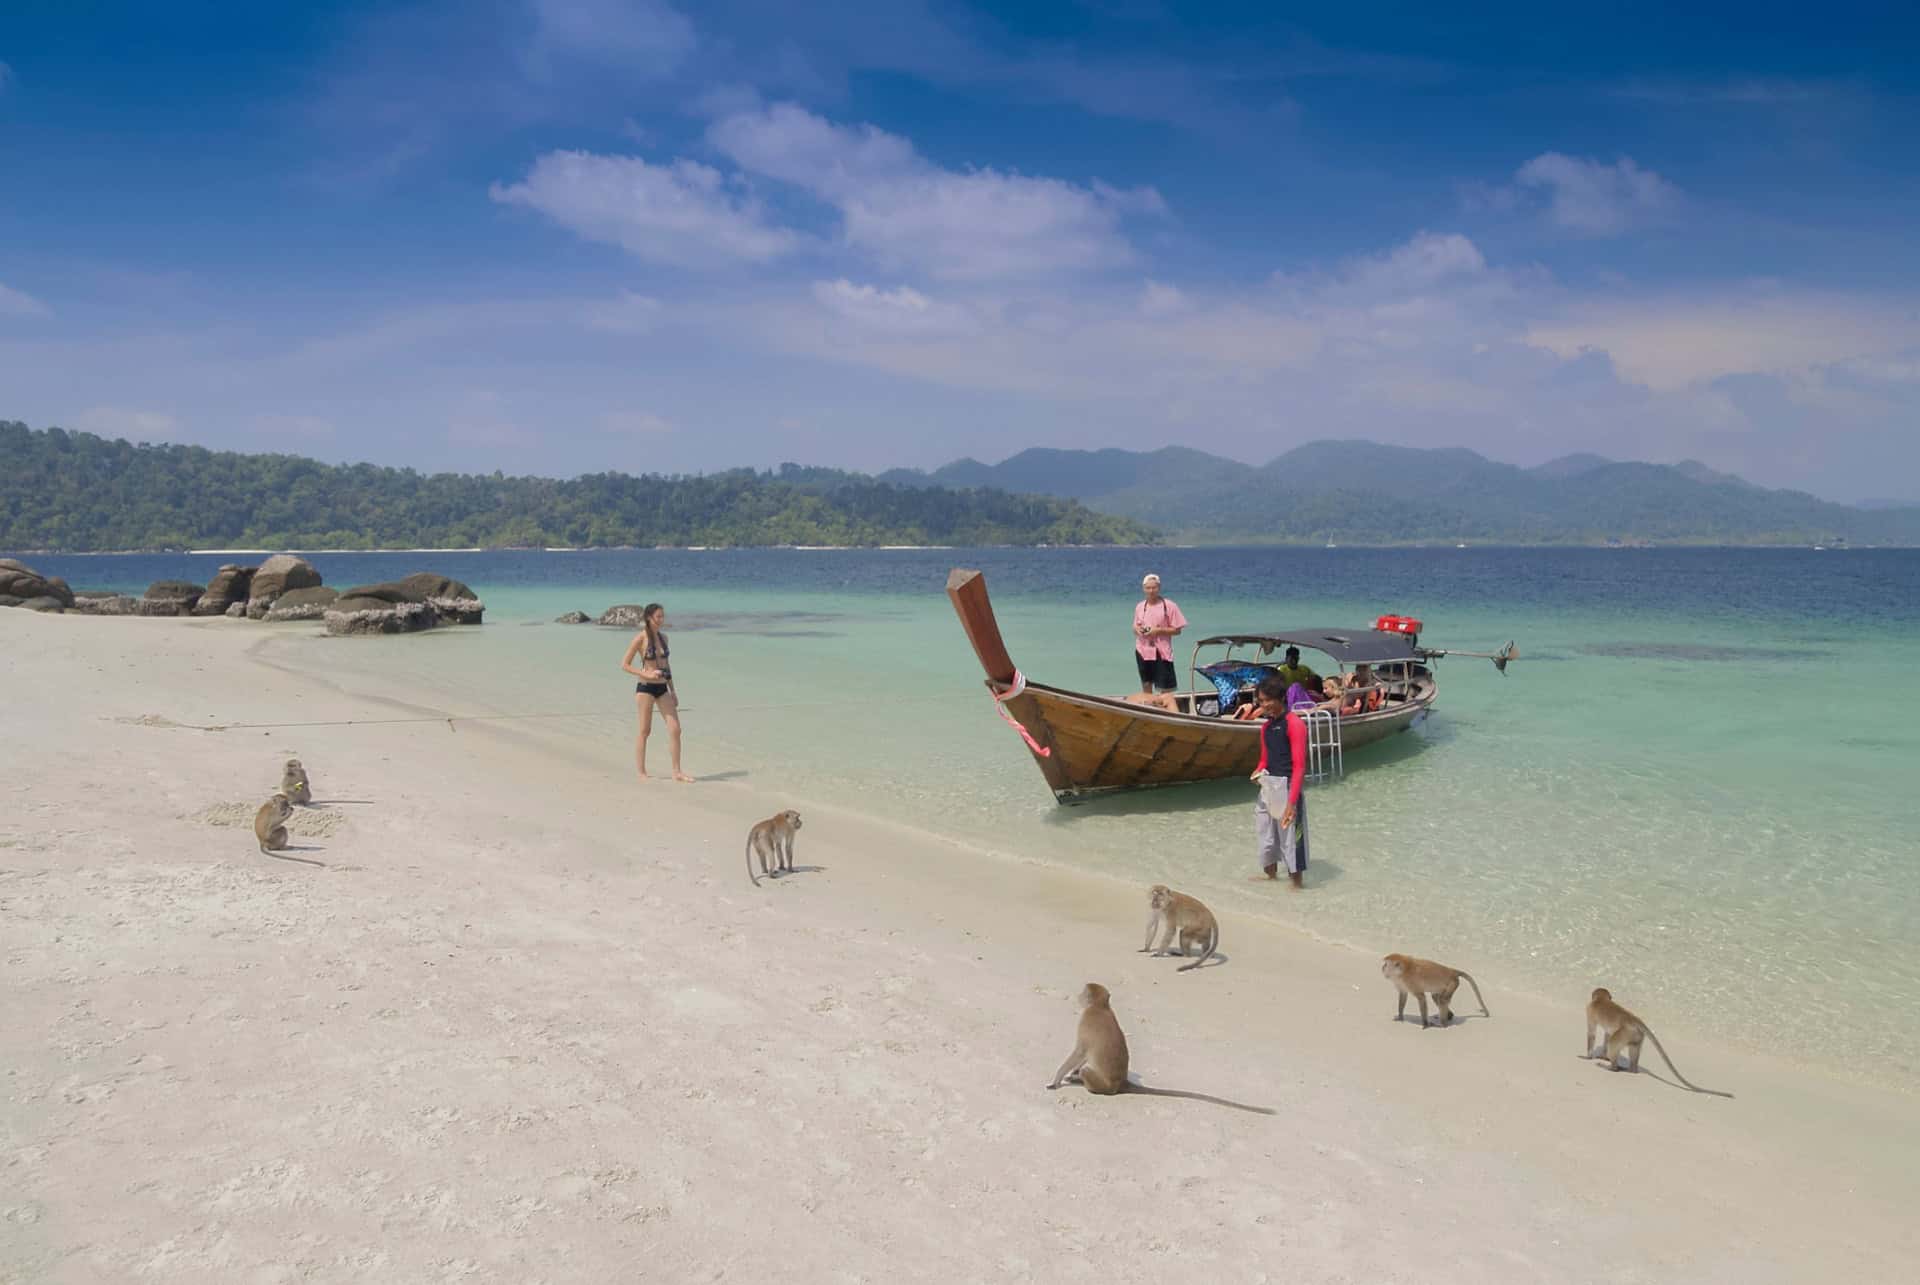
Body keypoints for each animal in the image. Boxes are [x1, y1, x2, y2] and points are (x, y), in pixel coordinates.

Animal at [1585, 988, 1733, 1098]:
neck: (1601, 999)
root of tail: (1634, 1020)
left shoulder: (1590, 1010)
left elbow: (1592, 1034)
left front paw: (1588, 1057)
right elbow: (1607, 1034)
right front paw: (1602, 1056)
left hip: (1625, 1033)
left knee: (1612, 1044)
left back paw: (1612, 1068)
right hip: (1636, 1035)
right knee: (1632, 1049)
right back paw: (1631, 1070)